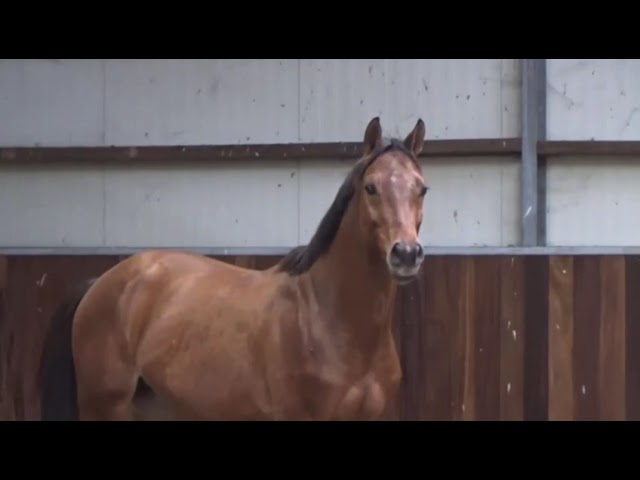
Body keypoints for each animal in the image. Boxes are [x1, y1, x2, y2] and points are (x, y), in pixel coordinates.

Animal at [38, 116, 429, 421]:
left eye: (422, 188)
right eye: (371, 187)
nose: (406, 254)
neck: (329, 319)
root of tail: (100, 284)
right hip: (105, 407)